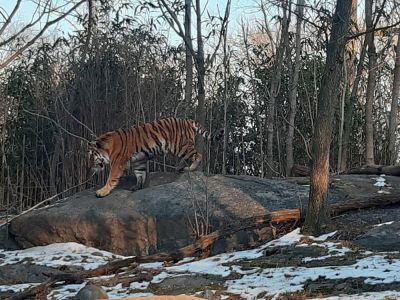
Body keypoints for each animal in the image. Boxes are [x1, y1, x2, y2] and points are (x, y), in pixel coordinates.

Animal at [87, 118, 222, 198]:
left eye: (91, 156)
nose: (89, 167)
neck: (107, 148)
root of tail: (187, 120)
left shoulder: (118, 162)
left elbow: (111, 177)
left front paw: (102, 191)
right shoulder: (139, 160)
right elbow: (140, 174)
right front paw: (137, 187)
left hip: (180, 146)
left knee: (198, 155)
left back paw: (189, 169)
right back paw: (182, 168)